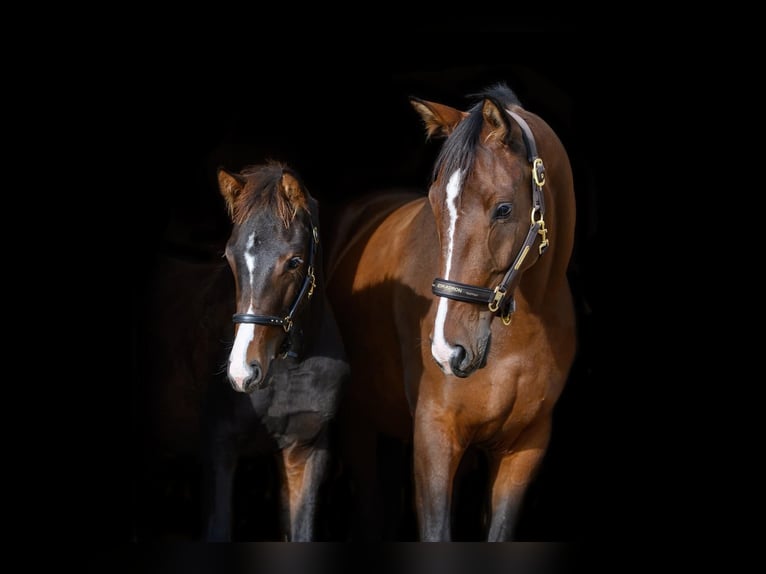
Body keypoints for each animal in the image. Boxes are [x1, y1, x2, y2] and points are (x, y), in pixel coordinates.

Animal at [328, 83, 580, 544]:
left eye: (503, 209)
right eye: (433, 203)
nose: (449, 351)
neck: (516, 337)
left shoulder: (525, 446)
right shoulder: (435, 436)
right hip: (358, 426)